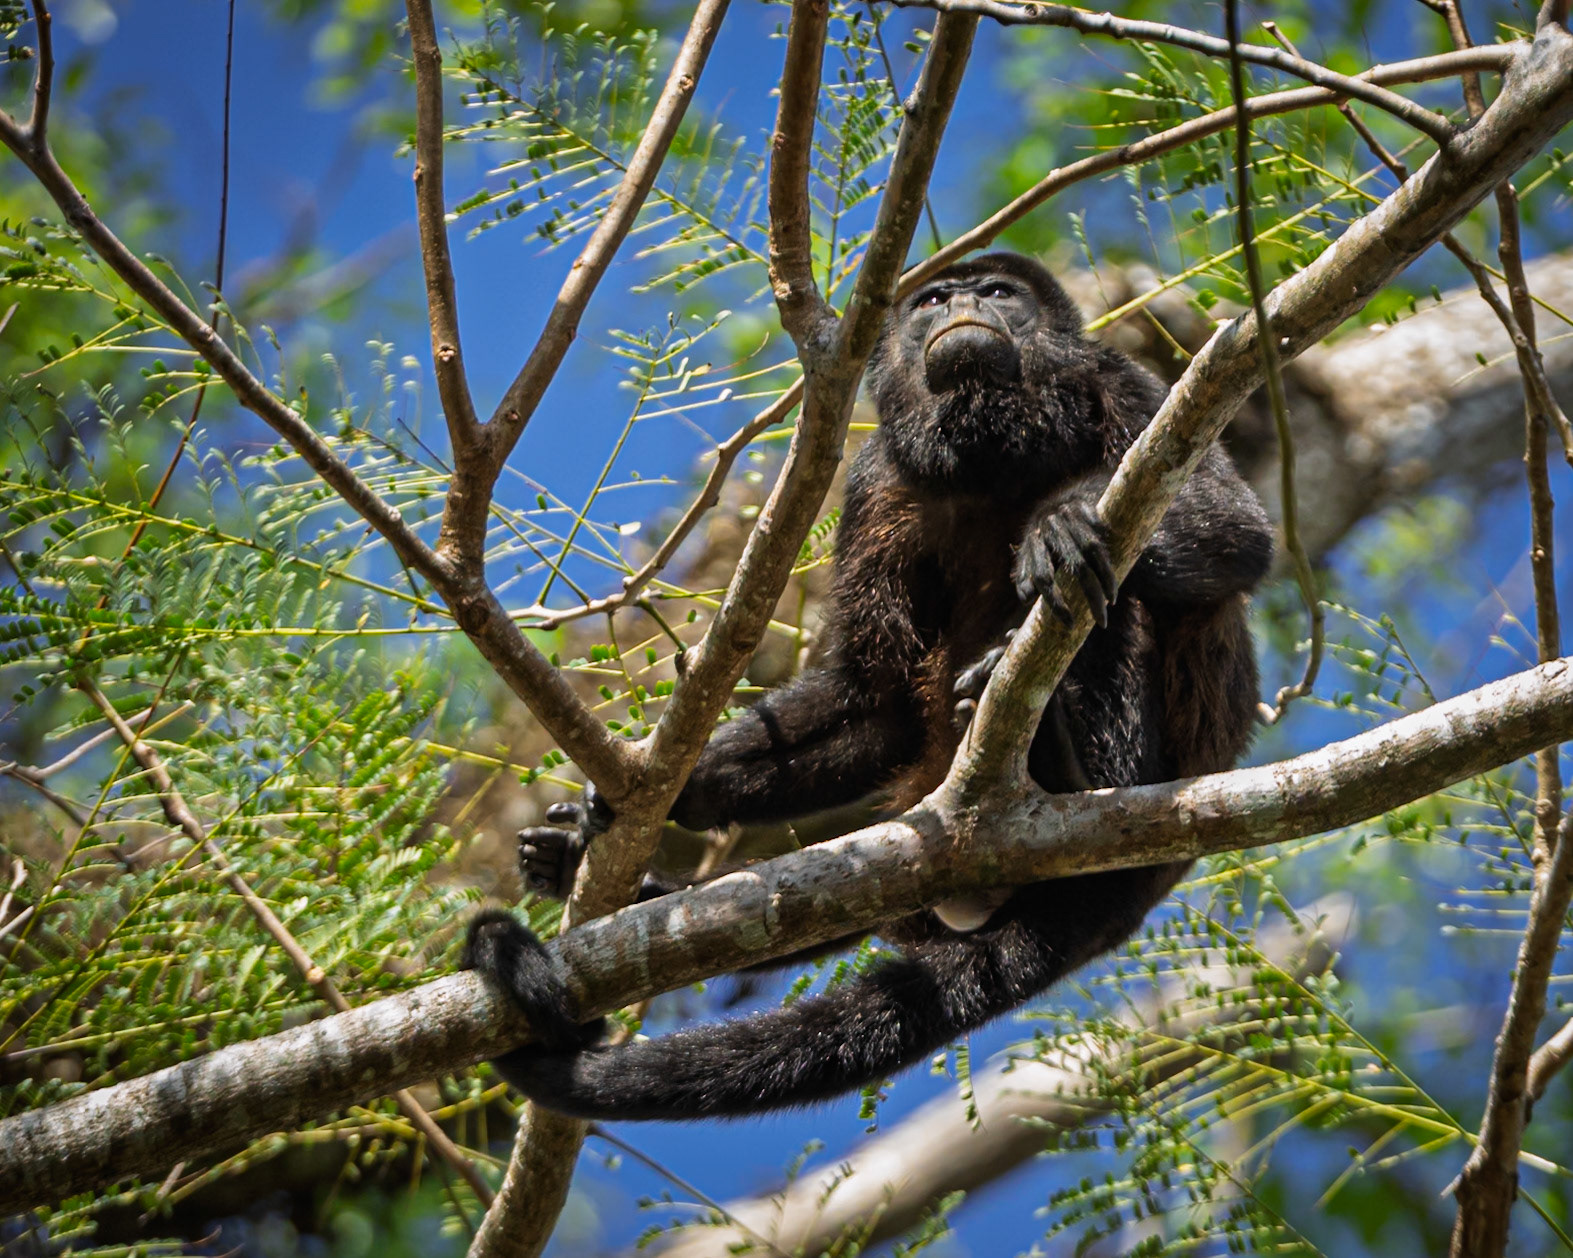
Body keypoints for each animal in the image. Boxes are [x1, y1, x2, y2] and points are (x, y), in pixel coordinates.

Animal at [463, 252, 1274, 1121]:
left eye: (998, 294)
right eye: (932, 299)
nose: (959, 304)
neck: (990, 451)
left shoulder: (1122, 382)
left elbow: (1237, 529)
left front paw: (1056, 523)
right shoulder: (873, 476)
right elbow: (873, 695)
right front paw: (640, 803)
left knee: (1112, 599)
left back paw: (1080, 759)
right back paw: (619, 880)